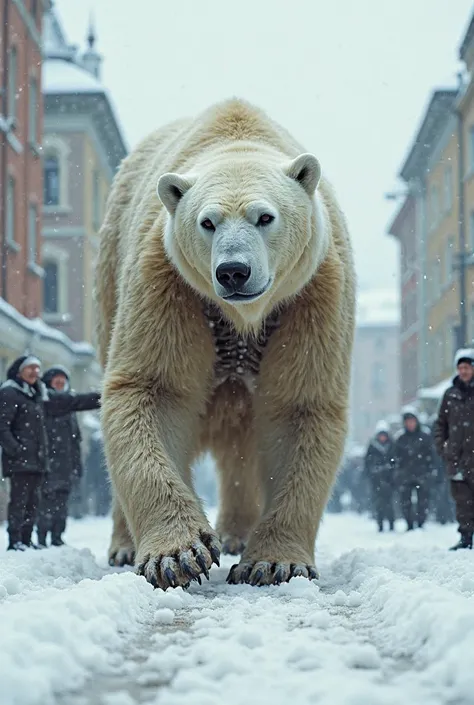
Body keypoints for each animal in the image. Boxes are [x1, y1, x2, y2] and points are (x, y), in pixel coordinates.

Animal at [95, 96, 356, 584]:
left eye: (265, 216)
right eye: (207, 222)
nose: (233, 271)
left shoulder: (311, 294)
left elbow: (300, 405)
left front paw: (273, 562)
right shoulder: (170, 283)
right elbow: (153, 389)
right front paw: (180, 554)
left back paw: (236, 533)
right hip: (109, 280)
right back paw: (124, 546)